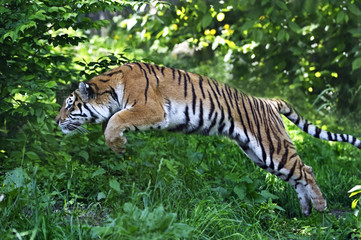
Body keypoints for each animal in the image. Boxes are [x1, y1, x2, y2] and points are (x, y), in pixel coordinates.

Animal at [54, 62, 358, 216]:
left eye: (69, 104)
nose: (56, 121)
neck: (111, 88)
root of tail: (268, 101)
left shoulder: (151, 109)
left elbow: (114, 121)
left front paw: (117, 146)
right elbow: (113, 120)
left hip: (273, 148)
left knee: (306, 170)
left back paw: (320, 206)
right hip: (260, 155)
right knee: (297, 175)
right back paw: (306, 210)